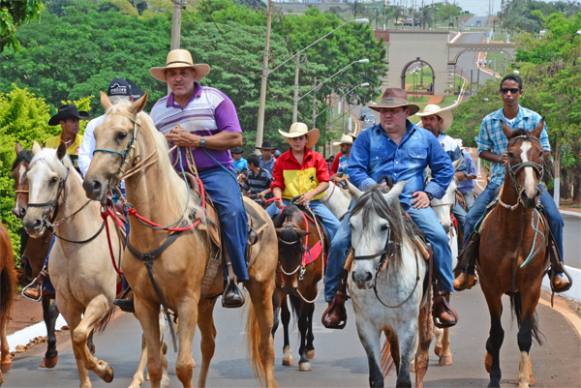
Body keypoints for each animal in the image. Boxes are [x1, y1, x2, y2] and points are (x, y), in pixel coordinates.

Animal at [21, 143, 164, 388]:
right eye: (29, 177)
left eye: (53, 179)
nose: (32, 223)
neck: (77, 246)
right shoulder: (67, 304)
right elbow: (76, 341)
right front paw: (91, 376)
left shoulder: (102, 300)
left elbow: (80, 336)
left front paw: (105, 371)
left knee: (153, 333)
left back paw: (139, 379)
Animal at [83, 94, 278, 388]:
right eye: (95, 133)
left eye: (121, 134)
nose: (92, 184)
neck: (158, 227)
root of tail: (263, 212)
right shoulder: (145, 303)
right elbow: (154, 366)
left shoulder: (186, 301)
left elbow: (184, 366)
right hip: (206, 300)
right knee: (210, 343)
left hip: (262, 287)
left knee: (266, 346)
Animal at [274, 203, 326, 370]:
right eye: (279, 250)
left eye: (301, 251)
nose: (290, 286)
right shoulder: (277, 287)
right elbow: (278, 320)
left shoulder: (308, 287)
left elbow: (303, 322)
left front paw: (303, 358)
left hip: (310, 289)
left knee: (309, 312)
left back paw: (309, 348)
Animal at [344, 183, 430, 388]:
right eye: (351, 225)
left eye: (384, 227)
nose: (361, 276)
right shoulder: (366, 326)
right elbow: (376, 377)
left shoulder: (408, 327)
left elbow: (404, 378)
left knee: (422, 357)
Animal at [476, 122, 548, 388]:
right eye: (511, 154)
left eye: (541, 153)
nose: (530, 196)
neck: (515, 234)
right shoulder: (490, 287)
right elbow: (496, 334)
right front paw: (494, 377)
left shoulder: (532, 287)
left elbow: (524, 335)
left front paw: (524, 379)